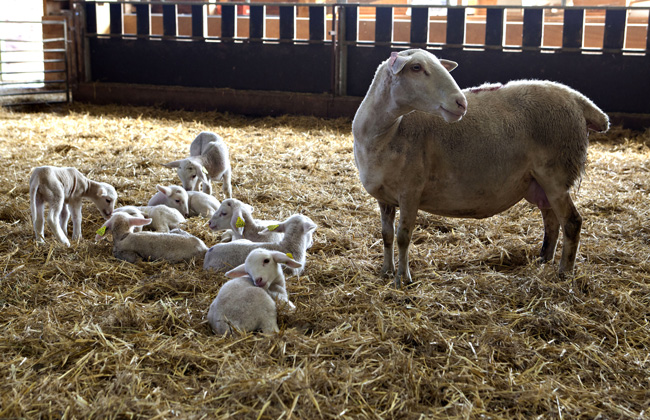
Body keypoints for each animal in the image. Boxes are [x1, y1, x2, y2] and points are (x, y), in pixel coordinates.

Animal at [350, 47, 608, 288]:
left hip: (556, 174)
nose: (461, 103)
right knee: (552, 221)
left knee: (572, 222)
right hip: (540, 182)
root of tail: (579, 101)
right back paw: (544, 259)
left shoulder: (411, 191)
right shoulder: (384, 197)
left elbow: (403, 237)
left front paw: (403, 279)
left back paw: (564, 272)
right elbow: (386, 236)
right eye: (416, 68)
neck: (389, 133)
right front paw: (385, 272)